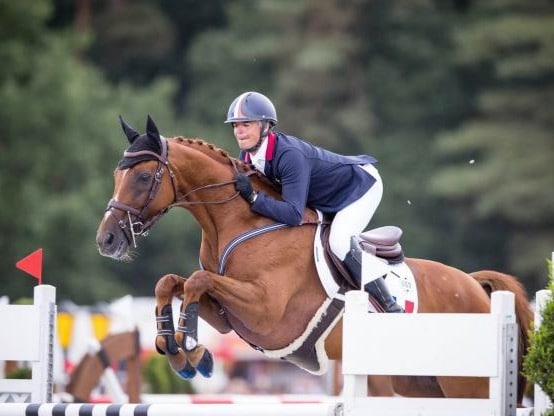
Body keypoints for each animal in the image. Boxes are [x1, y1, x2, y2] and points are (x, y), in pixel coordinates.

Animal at [95, 116, 532, 404]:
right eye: (117, 175)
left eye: (143, 177)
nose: (106, 240)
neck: (239, 222)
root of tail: (475, 286)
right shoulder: (227, 316)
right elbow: (172, 282)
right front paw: (175, 347)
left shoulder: (265, 312)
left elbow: (197, 282)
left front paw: (190, 349)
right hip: (419, 384)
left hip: (466, 383)